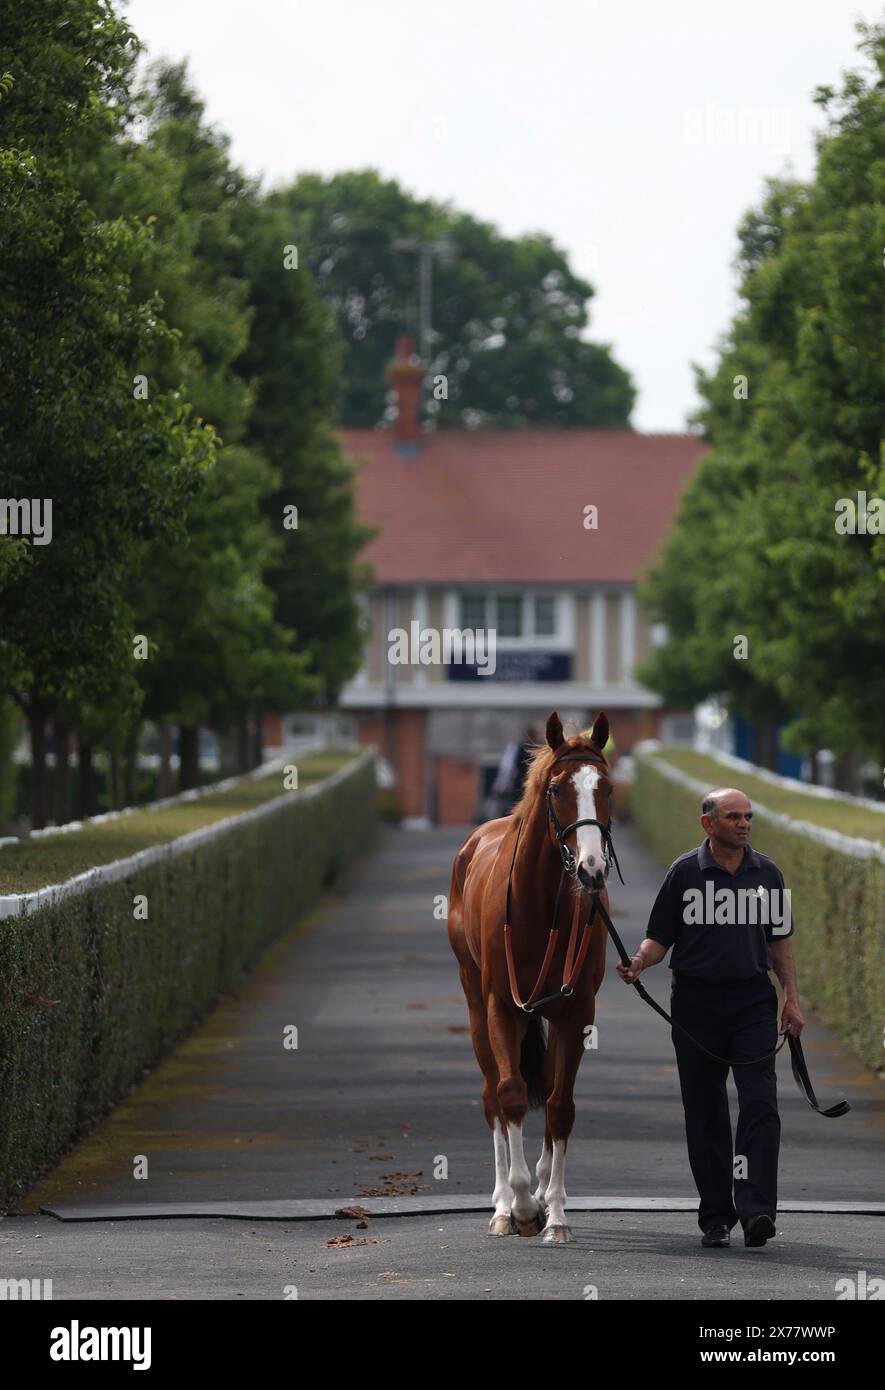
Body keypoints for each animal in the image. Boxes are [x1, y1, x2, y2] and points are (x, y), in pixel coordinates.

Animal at [448, 710, 617, 1243]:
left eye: (607, 787)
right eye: (557, 788)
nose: (591, 869)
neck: (539, 907)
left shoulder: (575, 1010)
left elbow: (561, 1105)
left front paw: (554, 1212)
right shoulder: (503, 1006)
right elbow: (511, 1094)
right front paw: (519, 1206)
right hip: (475, 1001)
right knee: (493, 1097)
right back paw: (503, 1201)